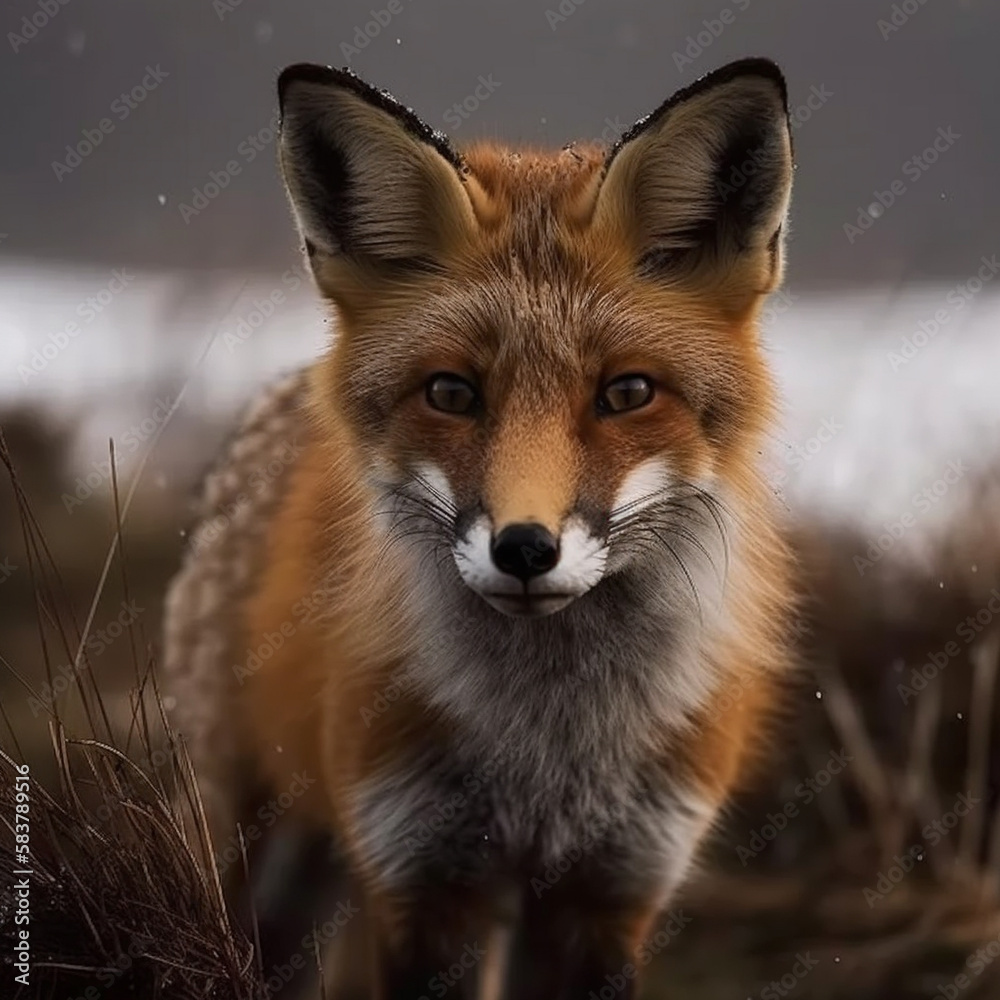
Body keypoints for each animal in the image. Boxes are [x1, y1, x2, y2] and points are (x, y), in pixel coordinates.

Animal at [163, 57, 796, 1000]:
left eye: (627, 393)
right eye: (452, 392)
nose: (525, 548)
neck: (547, 757)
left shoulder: (609, 893)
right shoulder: (424, 881)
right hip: (264, 863)